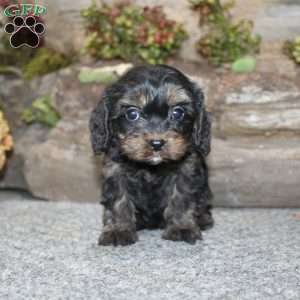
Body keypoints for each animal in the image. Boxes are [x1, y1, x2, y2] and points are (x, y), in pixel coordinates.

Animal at [89, 64, 213, 245]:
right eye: (132, 114)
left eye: (177, 113)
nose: (157, 143)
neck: (151, 166)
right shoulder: (115, 170)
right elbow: (119, 200)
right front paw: (118, 230)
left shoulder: (187, 169)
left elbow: (181, 198)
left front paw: (182, 227)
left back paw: (203, 218)